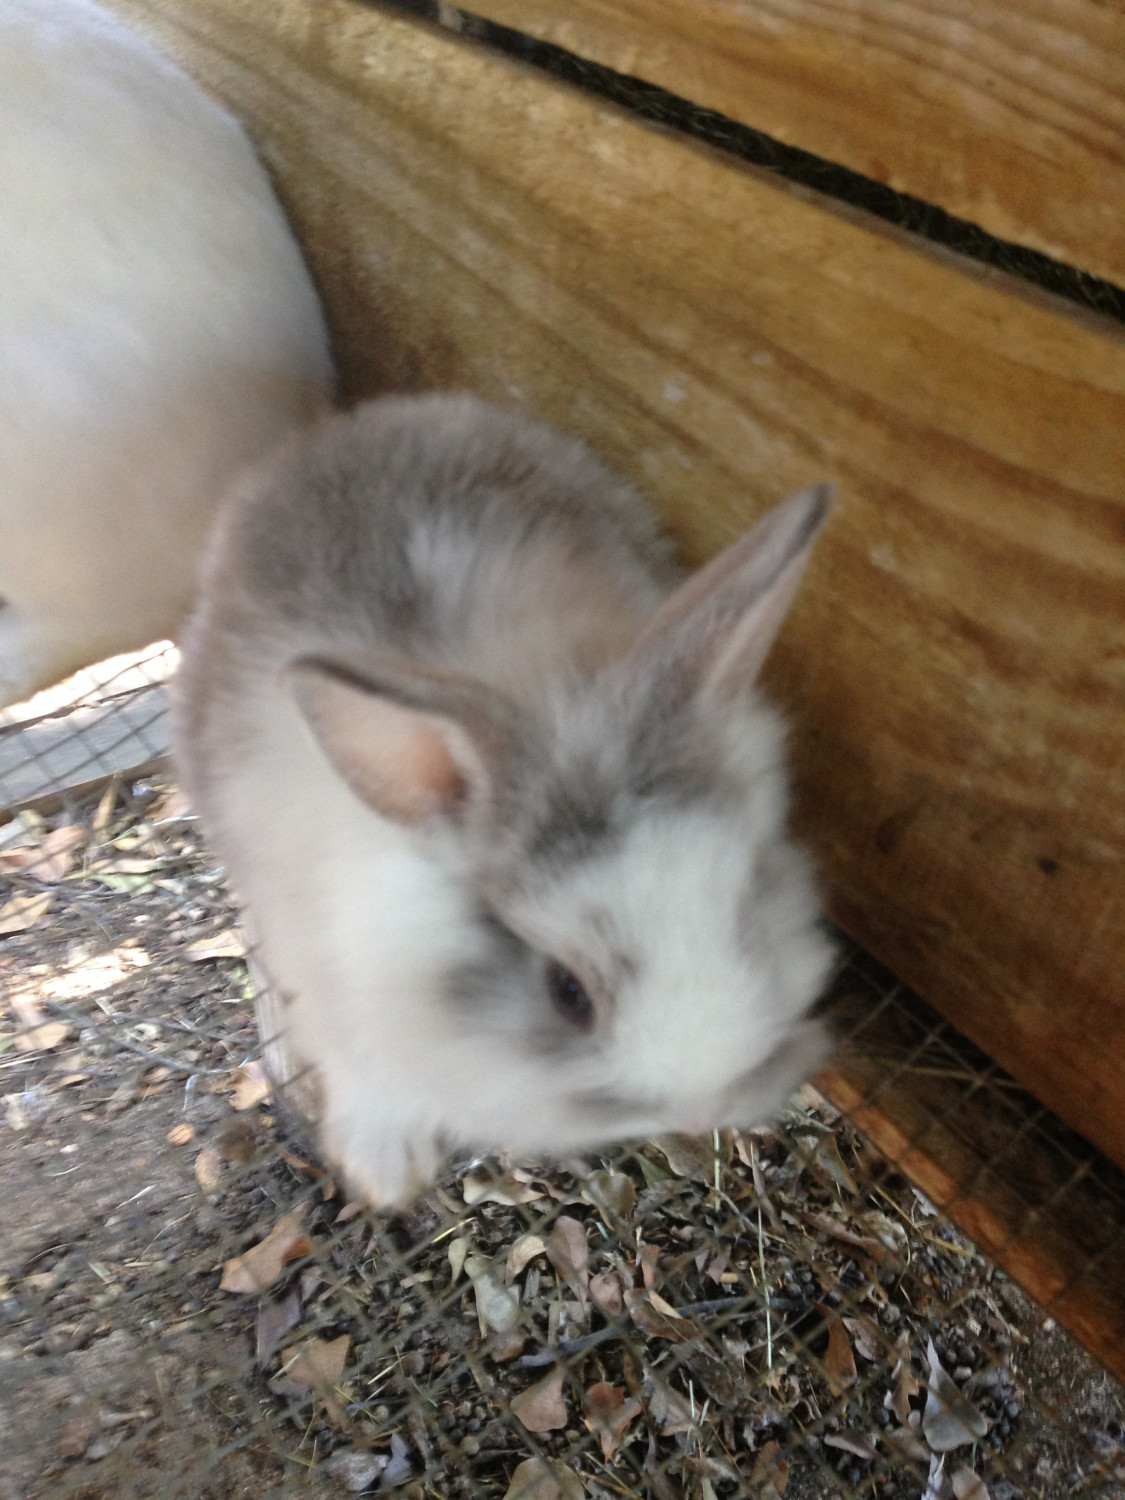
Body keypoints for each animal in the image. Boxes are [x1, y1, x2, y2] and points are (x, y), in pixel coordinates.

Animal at [175, 393, 835, 1206]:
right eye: (567, 992)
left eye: (746, 914)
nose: (706, 1109)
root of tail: (359, 422)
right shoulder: (320, 968)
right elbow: (356, 1061)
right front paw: (385, 1171)